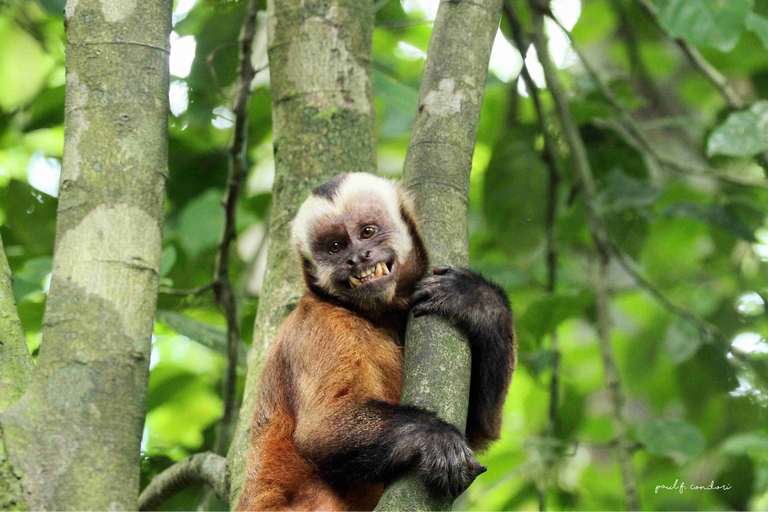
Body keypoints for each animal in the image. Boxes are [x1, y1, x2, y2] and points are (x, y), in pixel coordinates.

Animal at [238, 173, 516, 512]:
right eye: (335, 247)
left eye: (367, 232)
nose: (356, 258)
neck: (374, 314)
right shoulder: (322, 324)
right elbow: (320, 429)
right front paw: (433, 434)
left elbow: (480, 426)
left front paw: (478, 301)